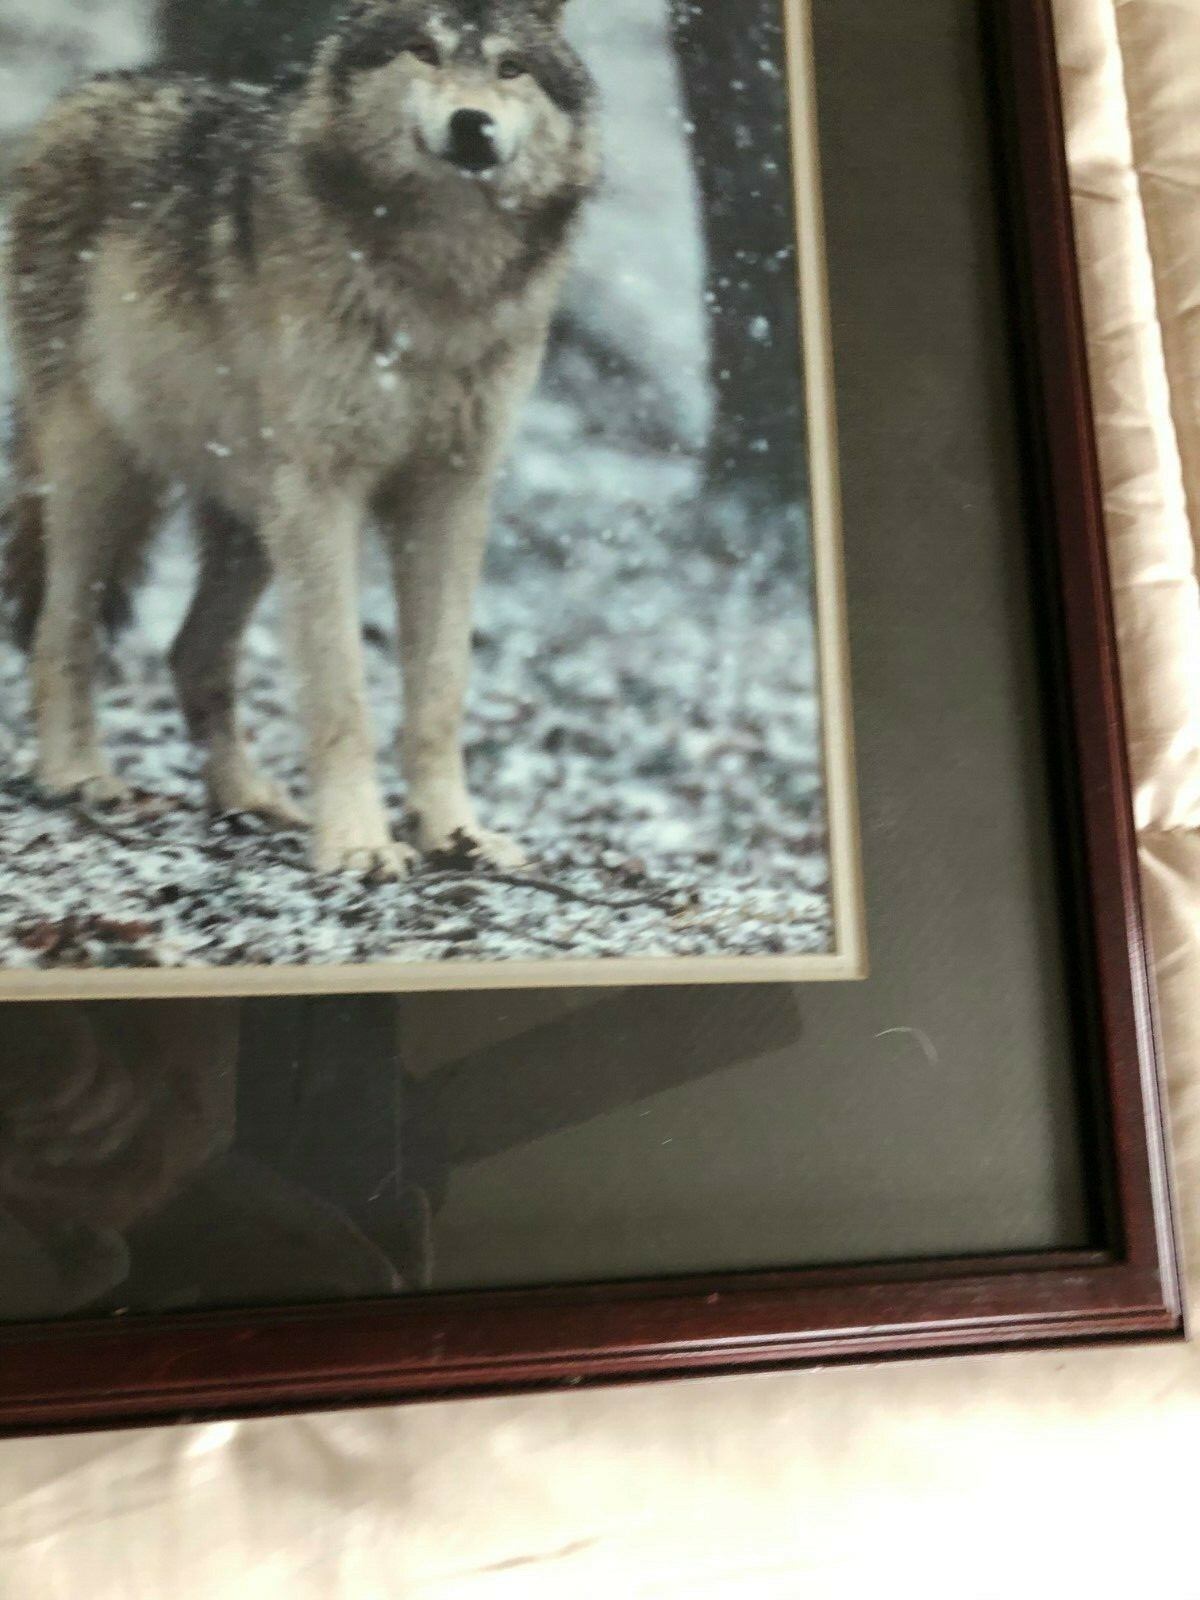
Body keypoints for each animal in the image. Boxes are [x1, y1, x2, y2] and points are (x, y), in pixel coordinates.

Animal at [2, 0, 599, 878]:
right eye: (422, 51)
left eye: (510, 68)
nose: (472, 125)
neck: (438, 285)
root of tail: (82, 95)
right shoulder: (325, 492)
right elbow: (341, 686)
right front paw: (359, 843)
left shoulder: (450, 492)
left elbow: (441, 690)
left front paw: (456, 834)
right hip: (105, 475)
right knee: (59, 630)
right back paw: (77, 775)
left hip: (251, 516)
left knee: (191, 652)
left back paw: (247, 798)